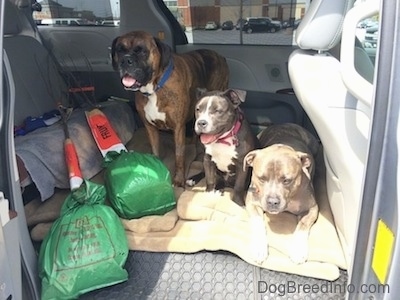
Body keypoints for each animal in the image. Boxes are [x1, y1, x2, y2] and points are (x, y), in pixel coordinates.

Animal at [111, 30, 230, 185]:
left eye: (142, 51)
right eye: (120, 50)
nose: (125, 60)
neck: (155, 89)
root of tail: (220, 56)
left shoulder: (178, 128)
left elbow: (179, 155)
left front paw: (178, 179)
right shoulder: (150, 127)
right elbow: (155, 150)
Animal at [242, 123, 320, 264]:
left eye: (287, 180)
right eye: (261, 178)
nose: (272, 202)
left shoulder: (312, 208)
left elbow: (303, 225)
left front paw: (298, 250)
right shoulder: (252, 202)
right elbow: (257, 222)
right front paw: (259, 248)